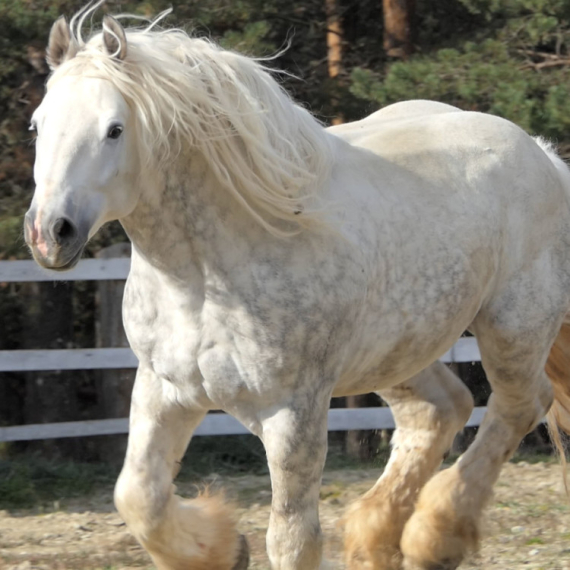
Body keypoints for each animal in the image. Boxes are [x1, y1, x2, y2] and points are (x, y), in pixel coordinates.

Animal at [24, 4, 568, 568]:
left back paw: (432, 537)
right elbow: (138, 499)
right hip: (397, 351)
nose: (49, 233)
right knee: (441, 409)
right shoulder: (165, 389)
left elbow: (291, 539)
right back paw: (378, 535)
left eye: (114, 129)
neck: (198, 279)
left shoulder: (293, 411)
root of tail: (543, 155)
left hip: (513, 326)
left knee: (520, 404)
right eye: (37, 125)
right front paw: (224, 550)